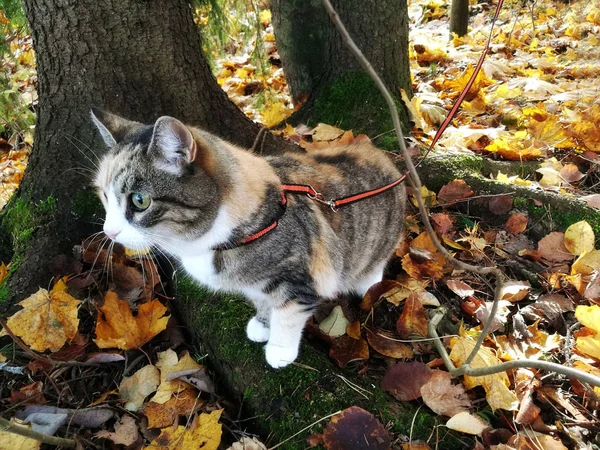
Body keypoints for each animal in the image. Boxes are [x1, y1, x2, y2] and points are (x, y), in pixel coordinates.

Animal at [90, 110, 408, 370]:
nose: (109, 232)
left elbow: (289, 312)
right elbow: (262, 300)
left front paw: (279, 349)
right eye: (104, 195)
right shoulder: (255, 284)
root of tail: (386, 158)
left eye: (140, 201)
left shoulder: (302, 273)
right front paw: (262, 323)